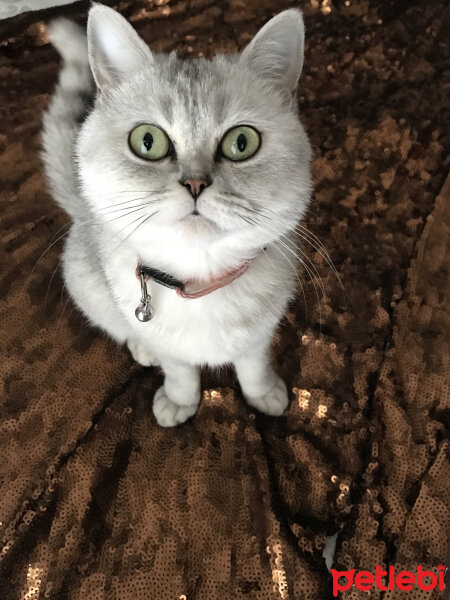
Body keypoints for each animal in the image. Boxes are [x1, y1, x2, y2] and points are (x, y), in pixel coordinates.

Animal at [42, 4, 312, 426]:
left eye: (242, 142)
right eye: (147, 141)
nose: (196, 183)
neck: (200, 286)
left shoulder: (259, 336)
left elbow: (253, 366)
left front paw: (263, 394)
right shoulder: (165, 343)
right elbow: (179, 369)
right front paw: (180, 400)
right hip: (87, 286)